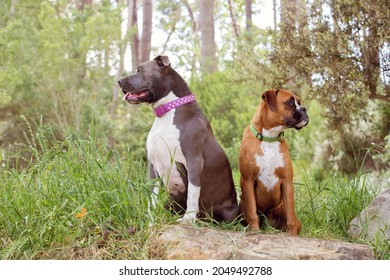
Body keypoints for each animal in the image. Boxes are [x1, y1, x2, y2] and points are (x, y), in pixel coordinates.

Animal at [239, 88, 310, 235]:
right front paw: (255, 231)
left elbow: (291, 216)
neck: (269, 138)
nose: (304, 109)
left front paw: (292, 235)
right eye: (289, 102)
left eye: (299, 102)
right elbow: (252, 212)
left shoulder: (287, 181)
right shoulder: (248, 179)